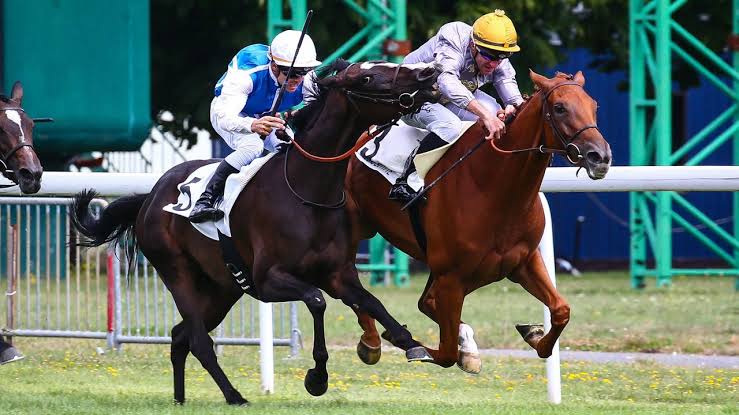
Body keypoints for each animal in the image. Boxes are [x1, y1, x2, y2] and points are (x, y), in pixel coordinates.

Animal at [70, 60, 440, 405]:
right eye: (367, 77)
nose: (428, 75)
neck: (308, 191)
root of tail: (150, 197)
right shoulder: (268, 280)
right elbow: (316, 301)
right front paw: (317, 377)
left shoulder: (338, 274)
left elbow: (372, 302)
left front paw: (410, 343)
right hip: (176, 271)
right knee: (199, 340)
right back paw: (234, 395)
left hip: (222, 288)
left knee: (180, 336)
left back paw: (180, 398)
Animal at [345, 70, 612, 372]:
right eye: (560, 108)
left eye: (594, 106)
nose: (600, 156)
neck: (491, 186)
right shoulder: (451, 276)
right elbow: (446, 352)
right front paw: (418, 344)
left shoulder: (522, 261)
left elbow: (561, 310)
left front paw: (532, 334)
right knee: (348, 281)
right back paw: (371, 342)